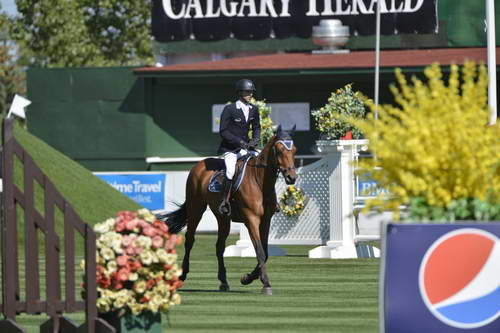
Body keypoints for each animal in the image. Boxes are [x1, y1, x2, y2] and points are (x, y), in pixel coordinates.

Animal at [158, 125, 294, 294]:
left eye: (294, 150)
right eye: (280, 151)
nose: (292, 177)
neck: (259, 181)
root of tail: (199, 165)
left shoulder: (265, 220)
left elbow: (266, 252)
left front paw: (247, 278)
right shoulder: (252, 220)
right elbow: (260, 251)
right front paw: (266, 284)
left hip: (223, 218)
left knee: (219, 246)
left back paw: (223, 281)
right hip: (196, 208)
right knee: (190, 240)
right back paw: (182, 275)